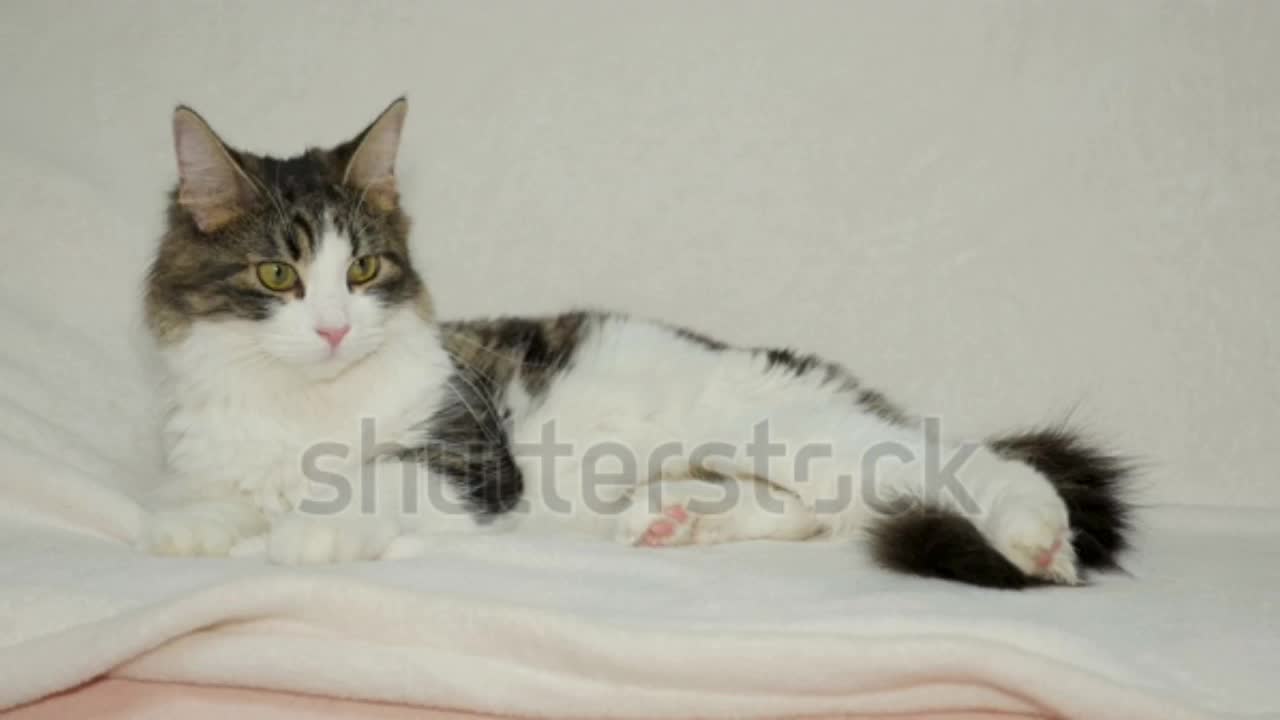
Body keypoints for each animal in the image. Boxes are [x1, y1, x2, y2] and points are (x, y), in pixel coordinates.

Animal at [140, 98, 1131, 586]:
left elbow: (364, 479)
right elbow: (220, 495)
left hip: (799, 430)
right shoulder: (216, 450)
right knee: (820, 510)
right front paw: (190, 527)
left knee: (966, 460)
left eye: (364, 270)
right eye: (279, 276)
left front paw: (313, 530)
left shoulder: (471, 461)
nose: (336, 327)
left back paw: (1037, 537)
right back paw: (675, 519)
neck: (302, 401)